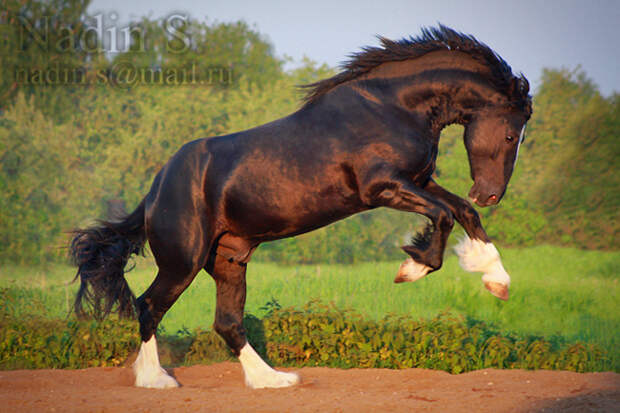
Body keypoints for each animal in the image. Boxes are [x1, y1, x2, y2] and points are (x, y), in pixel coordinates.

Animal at [70, 25, 532, 386]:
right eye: (512, 134)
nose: (490, 194)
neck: (391, 107)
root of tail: (155, 192)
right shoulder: (381, 187)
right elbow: (443, 215)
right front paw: (411, 269)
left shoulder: (418, 180)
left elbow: (462, 212)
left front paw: (498, 281)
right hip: (183, 261)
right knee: (149, 306)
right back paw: (156, 380)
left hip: (229, 259)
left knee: (227, 322)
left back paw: (273, 380)